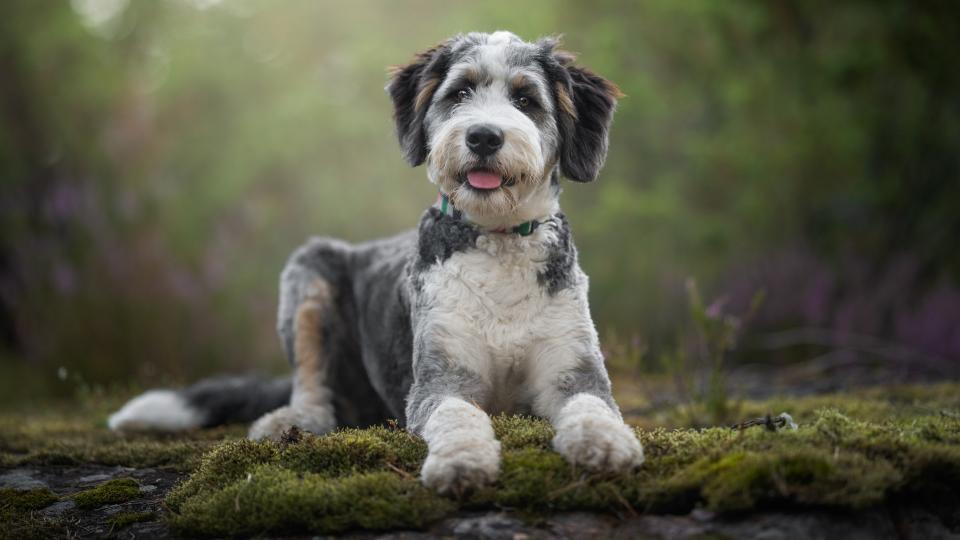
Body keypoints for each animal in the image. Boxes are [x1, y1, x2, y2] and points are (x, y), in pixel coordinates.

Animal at [110, 30, 644, 494]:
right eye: (460, 92)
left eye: (526, 99)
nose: (483, 136)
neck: (498, 240)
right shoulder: (438, 380)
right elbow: (458, 414)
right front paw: (461, 461)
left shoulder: (573, 370)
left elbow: (592, 406)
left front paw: (606, 445)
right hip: (309, 271)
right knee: (311, 385)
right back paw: (292, 420)